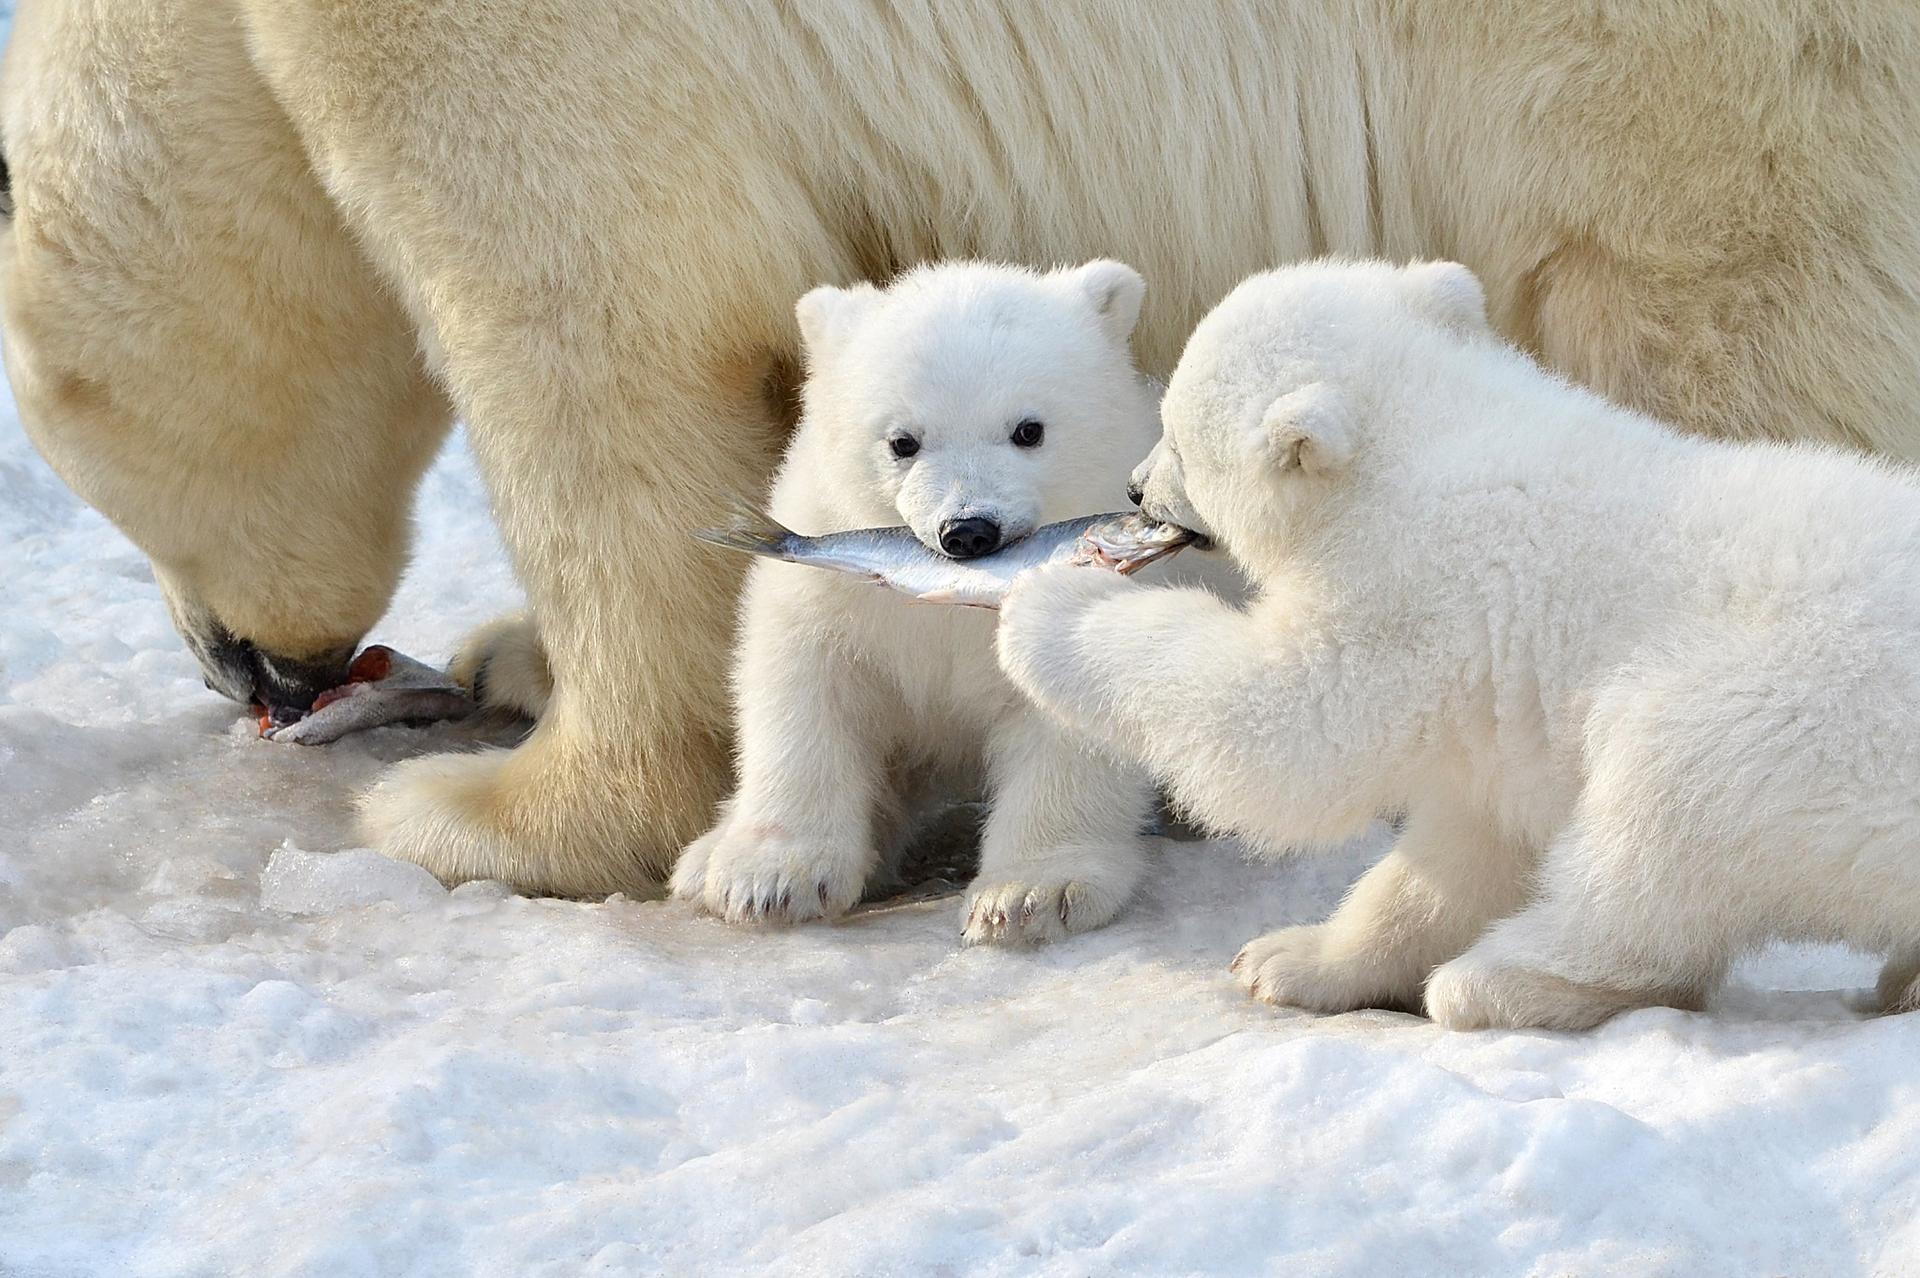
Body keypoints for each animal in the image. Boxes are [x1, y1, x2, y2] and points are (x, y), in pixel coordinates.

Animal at [3, 2, 1920, 894]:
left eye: (88, 469)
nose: (239, 670)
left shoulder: (487, 49)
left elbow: (620, 349)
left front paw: (494, 808)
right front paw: (502, 657)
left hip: (1691, 83)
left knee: (1736, 322)